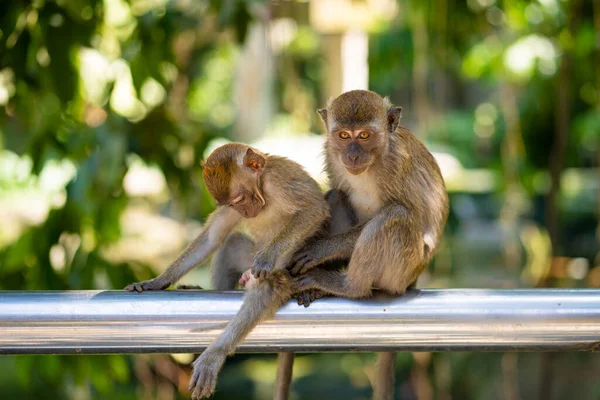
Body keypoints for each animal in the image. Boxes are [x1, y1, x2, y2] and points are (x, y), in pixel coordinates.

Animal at [123, 144, 328, 400]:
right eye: (233, 203)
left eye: (240, 198)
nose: (246, 211)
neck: (263, 187)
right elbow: (212, 238)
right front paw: (158, 281)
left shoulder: (279, 180)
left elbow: (313, 210)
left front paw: (268, 258)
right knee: (231, 244)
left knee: (267, 287)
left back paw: (215, 354)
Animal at [288, 90, 450, 400]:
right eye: (343, 135)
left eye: (364, 135)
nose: (352, 154)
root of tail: (414, 278)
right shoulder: (333, 156)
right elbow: (339, 193)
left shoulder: (398, 166)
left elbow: (409, 212)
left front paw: (322, 249)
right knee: (337, 196)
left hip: (403, 270)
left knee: (396, 216)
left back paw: (345, 286)